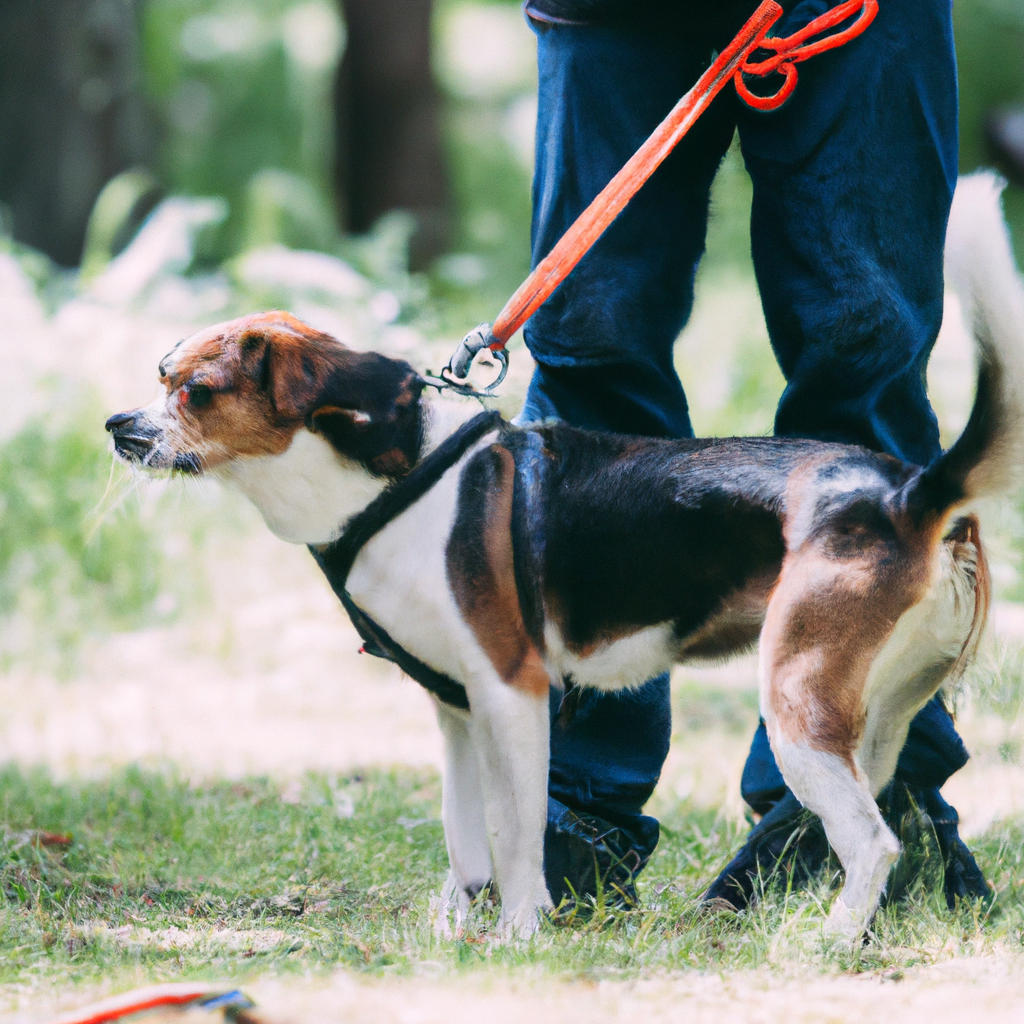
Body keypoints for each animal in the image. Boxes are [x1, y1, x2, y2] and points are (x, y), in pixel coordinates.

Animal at [105, 174, 1024, 937]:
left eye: (195, 392)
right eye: (158, 375)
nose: (117, 426)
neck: (394, 483)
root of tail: (911, 494)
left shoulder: (514, 692)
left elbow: (515, 835)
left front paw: (519, 933)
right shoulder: (455, 707)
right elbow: (465, 838)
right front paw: (455, 931)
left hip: (795, 695)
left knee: (872, 843)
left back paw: (829, 940)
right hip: (877, 719)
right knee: (881, 815)